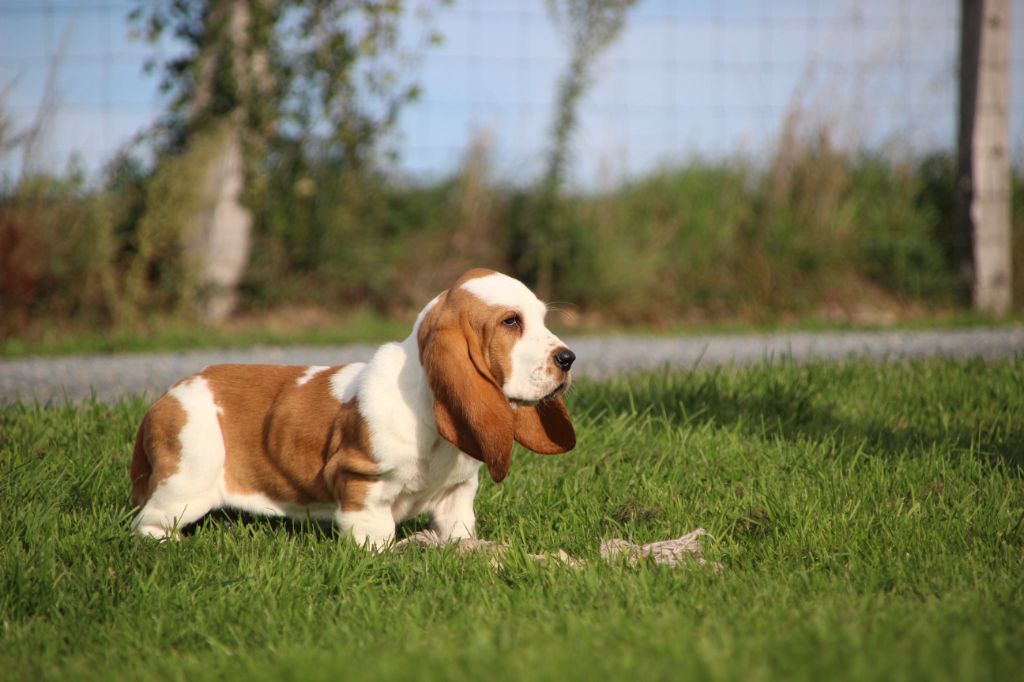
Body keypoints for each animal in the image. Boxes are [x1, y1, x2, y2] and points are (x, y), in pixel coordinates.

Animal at [130, 269, 576, 547]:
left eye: (540, 318)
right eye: (511, 322)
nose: (569, 358)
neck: (428, 417)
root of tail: (167, 396)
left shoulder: (457, 497)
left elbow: (460, 531)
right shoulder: (365, 487)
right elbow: (379, 536)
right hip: (186, 485)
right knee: (146, 523)